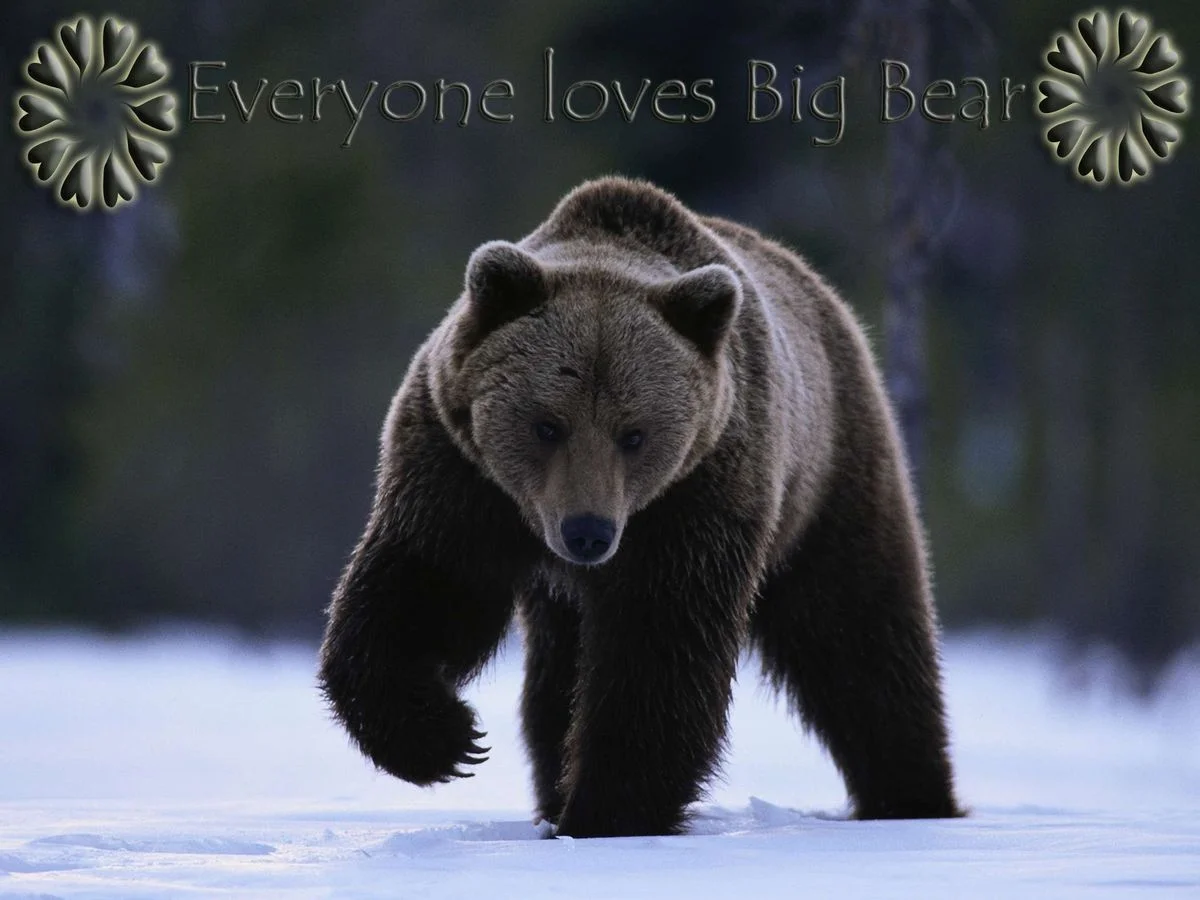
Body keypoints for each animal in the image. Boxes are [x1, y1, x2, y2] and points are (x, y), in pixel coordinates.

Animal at [318, 176, 961, 838]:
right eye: (548, 425)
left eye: (634, 434)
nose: (588, 532)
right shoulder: (459, 472)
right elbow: (426, 585)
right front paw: (444, 739)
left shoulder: (697, 494)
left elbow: (658, 645)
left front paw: (608, 811)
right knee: (555, 679)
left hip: (829, 478)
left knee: (858, 636)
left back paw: (910, 796)